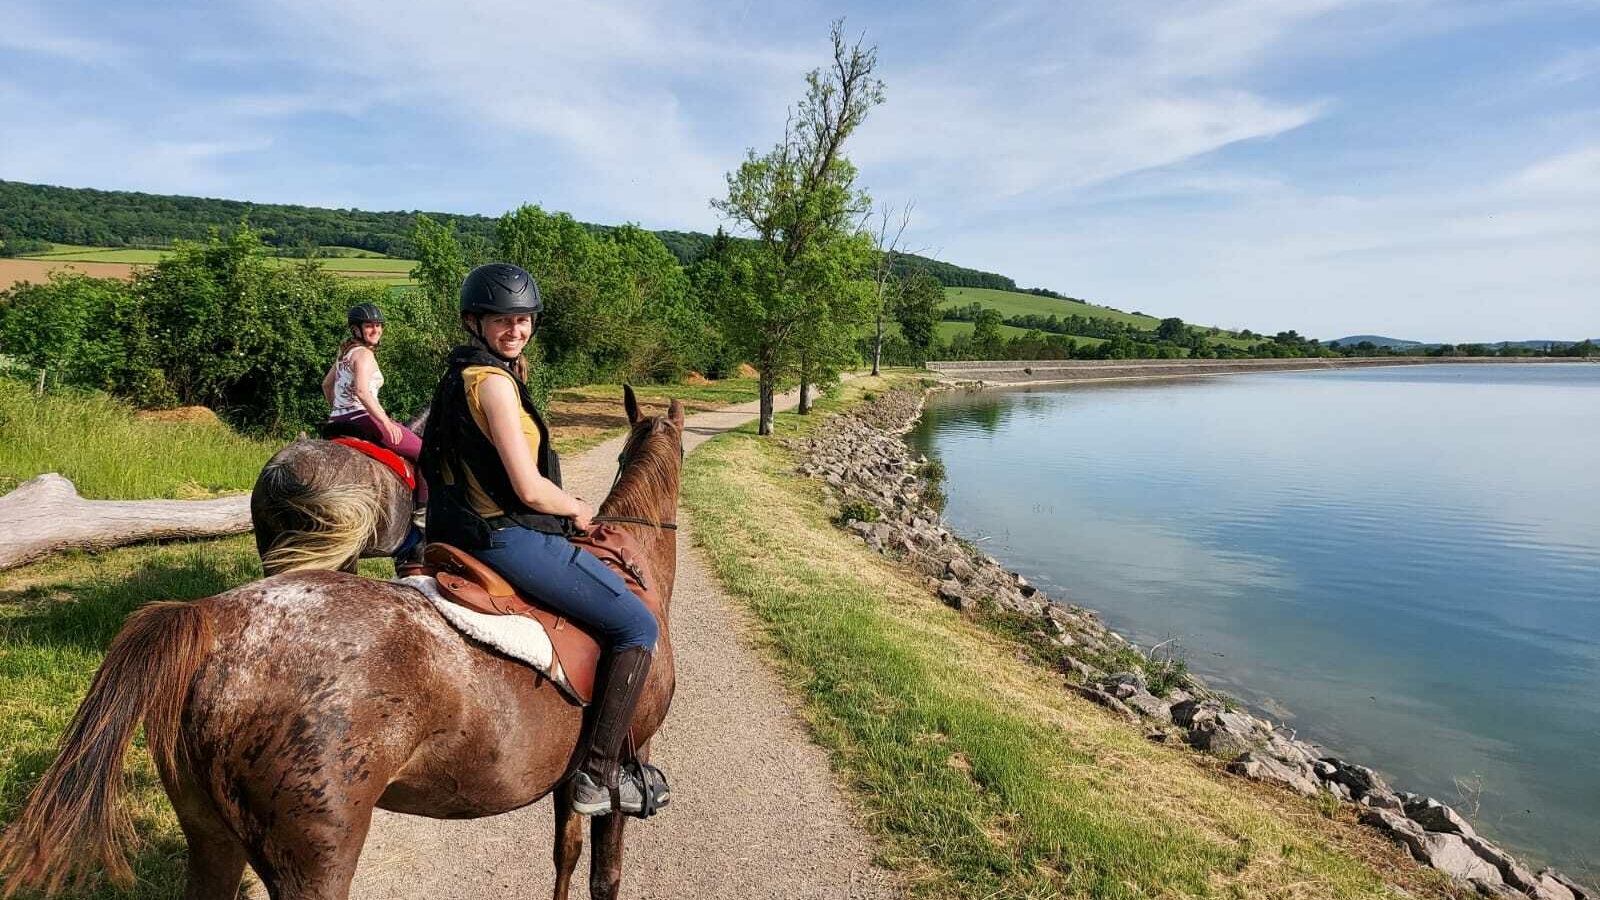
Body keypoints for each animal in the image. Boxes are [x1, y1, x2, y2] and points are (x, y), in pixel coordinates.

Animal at [0, 389, 681, 896]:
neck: (632, 561)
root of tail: (213, 619)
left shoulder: (570, 779)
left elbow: (566, 854)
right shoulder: (625, 757)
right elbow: (604, 875)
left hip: (211, 837)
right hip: (314, 858)